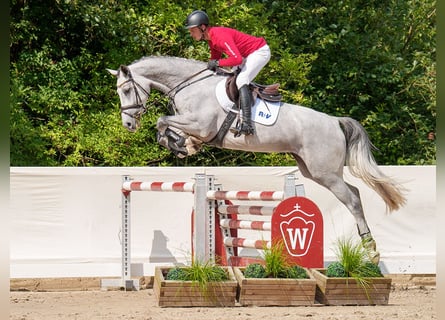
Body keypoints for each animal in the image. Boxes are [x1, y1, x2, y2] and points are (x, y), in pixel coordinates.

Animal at [108, 55, 406, 264]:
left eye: (126, 90)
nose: (128, 125)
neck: (188, 85)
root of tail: (334, 121)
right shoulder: (192, 123)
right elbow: (167, 127)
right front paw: (184, 145)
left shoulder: (201, 124)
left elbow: (162, 121)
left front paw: (182, 144)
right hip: (313, 170)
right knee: (354, 191)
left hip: (326, 173)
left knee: (353, 199)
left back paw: (372, 251)